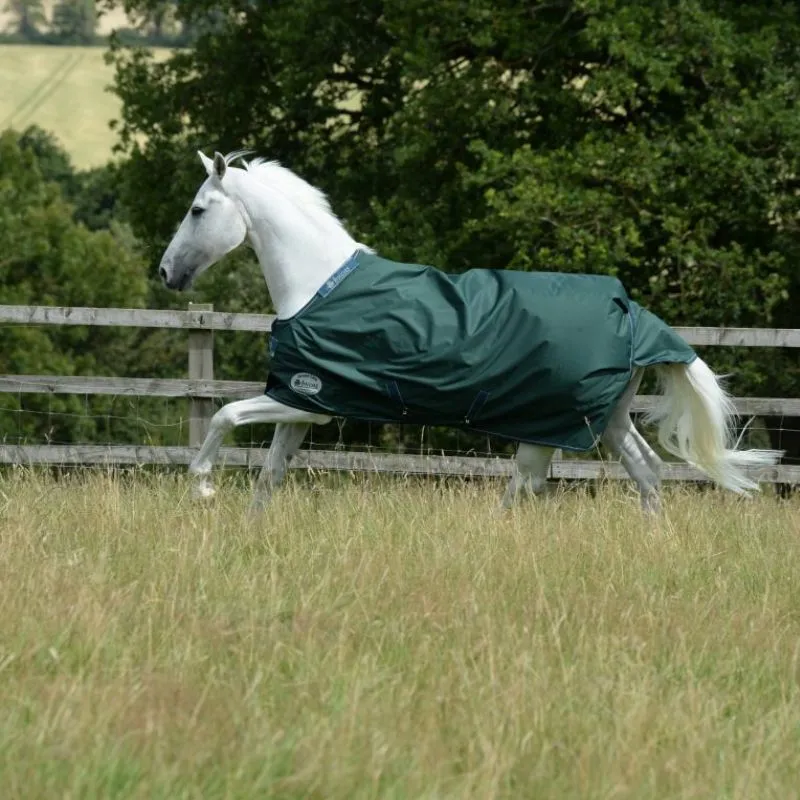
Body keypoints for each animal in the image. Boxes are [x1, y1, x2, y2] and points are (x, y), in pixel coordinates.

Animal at [158, 150, 781, 514]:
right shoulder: (303, 407)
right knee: (647, 474)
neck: (317, 285)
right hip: (604, 420)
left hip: (542, 428)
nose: (166, 273)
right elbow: (268, 479)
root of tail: (632, 313)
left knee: (521, 492)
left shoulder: (303, 400)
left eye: (196, 210)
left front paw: (204, 485)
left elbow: (223, 415)